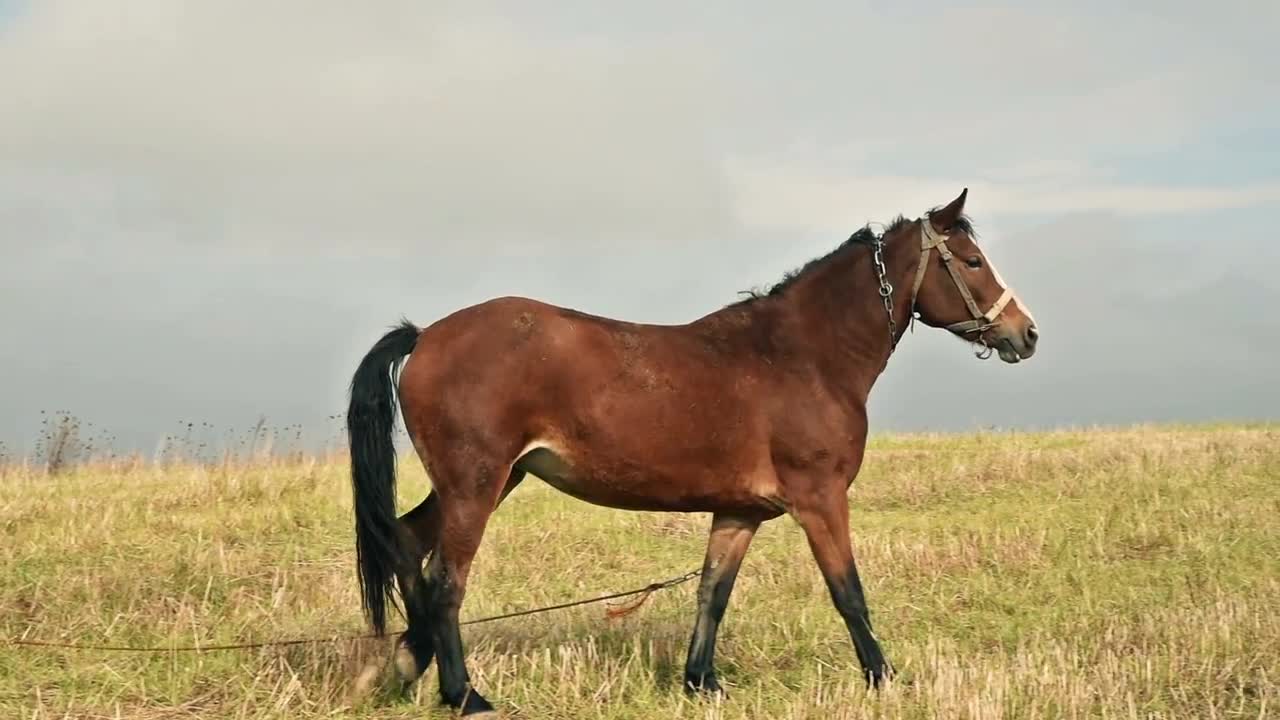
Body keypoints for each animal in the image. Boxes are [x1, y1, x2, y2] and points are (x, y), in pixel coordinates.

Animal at [345, 188, 1034, 712]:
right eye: (972, 260)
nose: (1024, 333)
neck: (802, 357)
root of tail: (425, 335)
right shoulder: (820, 500)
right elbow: (848, 591)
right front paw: (884, 678)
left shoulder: (739, 511)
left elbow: (713, 593)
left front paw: (701, 682)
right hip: (478, 484)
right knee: (447, 580)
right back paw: (464, 695)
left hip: (487, 481)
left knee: (408, 541)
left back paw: (406, 661)